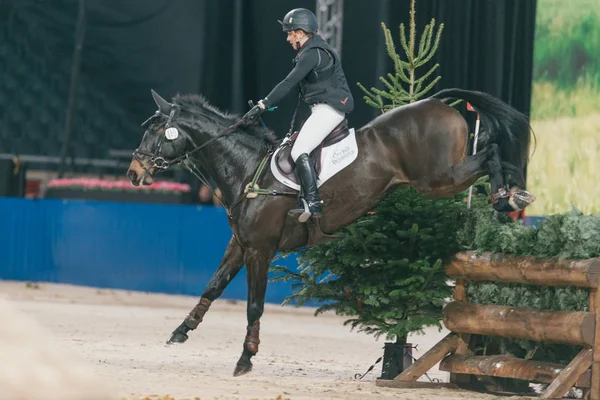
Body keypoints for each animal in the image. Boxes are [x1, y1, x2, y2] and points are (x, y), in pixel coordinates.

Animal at [125, 86, 536, 376]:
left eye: (156, 131)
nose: (133, 173)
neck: (246, 170)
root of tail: (437, 102)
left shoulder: (260, 249)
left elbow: (254, 305)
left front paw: (245, 358)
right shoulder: (240, 244)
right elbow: (212, 286)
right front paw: (181, 331)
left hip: (437, 180)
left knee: (491, 153)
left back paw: (509, 196)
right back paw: (508, 196)